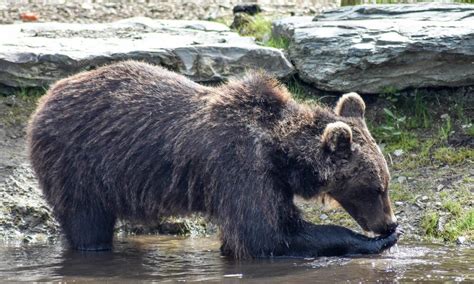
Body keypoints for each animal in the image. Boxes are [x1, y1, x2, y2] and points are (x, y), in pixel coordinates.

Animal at [26, 60, 400, 260]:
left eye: (384, 183)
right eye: (375, 187)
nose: (389, 223)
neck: (281, 155)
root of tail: (46, 97)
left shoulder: (269, 180)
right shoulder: (240, 168)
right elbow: (264, 235)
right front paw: (369, 242)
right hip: (79, 164)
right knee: (86, 221)